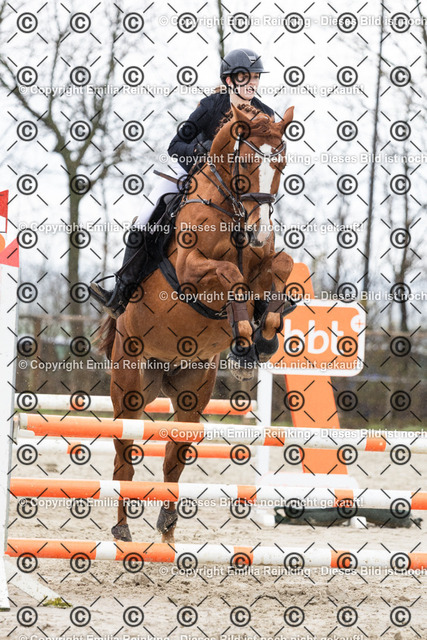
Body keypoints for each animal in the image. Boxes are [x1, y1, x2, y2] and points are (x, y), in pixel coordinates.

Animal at [97, 102, 296, 543]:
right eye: (245, 162)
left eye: (282, 165)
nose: (260, 233)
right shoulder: (191, 269)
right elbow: (230, 274)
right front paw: (245, 337)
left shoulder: (264, 264)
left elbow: (282, 268)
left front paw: (261, 338)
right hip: (129, 383)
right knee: (125, 454)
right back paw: (121, 530)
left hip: (192, 388)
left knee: (175, 454)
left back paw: (168, 529)